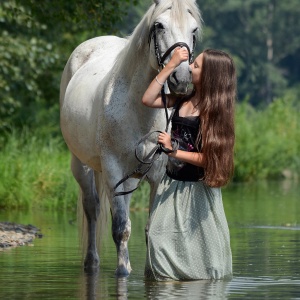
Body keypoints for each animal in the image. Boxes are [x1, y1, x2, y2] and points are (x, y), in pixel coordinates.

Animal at [60, 0, 203, 276]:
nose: (181, 79)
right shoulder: (114, 170)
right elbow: (121, 229)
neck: (139, 109)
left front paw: (153, 272)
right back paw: (91, 262)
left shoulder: (157, 174)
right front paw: (123, 270)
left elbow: (151, 228)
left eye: (194, 30)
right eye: (159, 26)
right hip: (82, 165)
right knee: (92, 208)